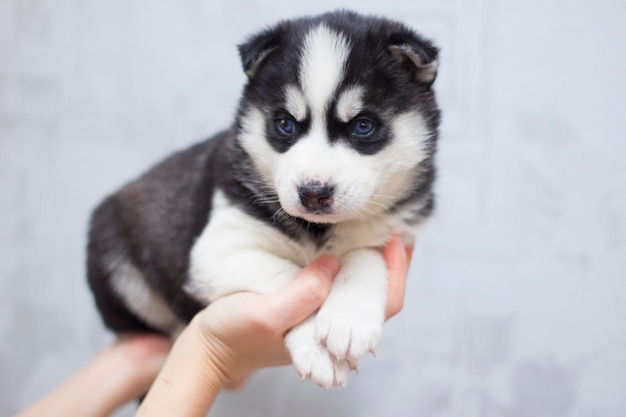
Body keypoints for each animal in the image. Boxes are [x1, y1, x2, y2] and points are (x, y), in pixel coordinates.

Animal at [86, 9, 438, 386]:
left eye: (363, 126)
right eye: (285, 124)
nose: (313, 193)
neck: (318, 231)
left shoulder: (394, 231)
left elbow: (364, 255)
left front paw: (349, 318)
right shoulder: (218, 249)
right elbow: (290, 276)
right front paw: (316, 347)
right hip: (112, 253)